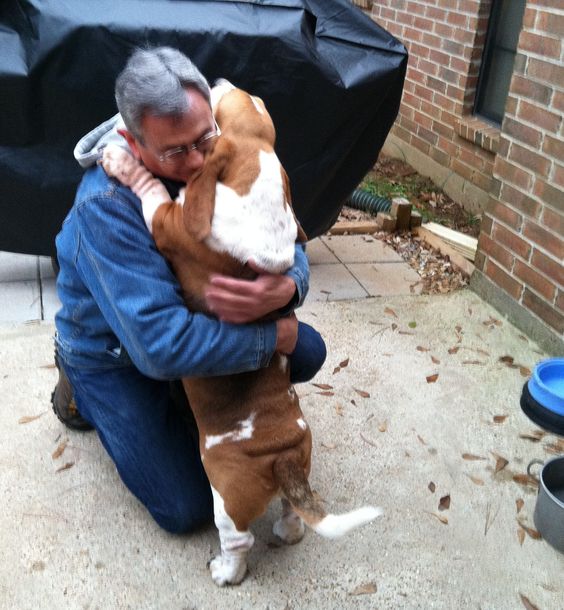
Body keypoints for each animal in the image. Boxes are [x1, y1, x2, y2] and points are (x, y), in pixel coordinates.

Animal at [102, 79, 384, 584]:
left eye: (226, 109)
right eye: (258, 104)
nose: (217, 82)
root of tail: (283, 455)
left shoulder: (166, 221)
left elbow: (151, 191)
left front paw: (120, 160)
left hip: (224, 492)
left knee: (238, 538)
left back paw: (225, 571)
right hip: (299, 469)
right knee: (292, 513)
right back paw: (287, 531)